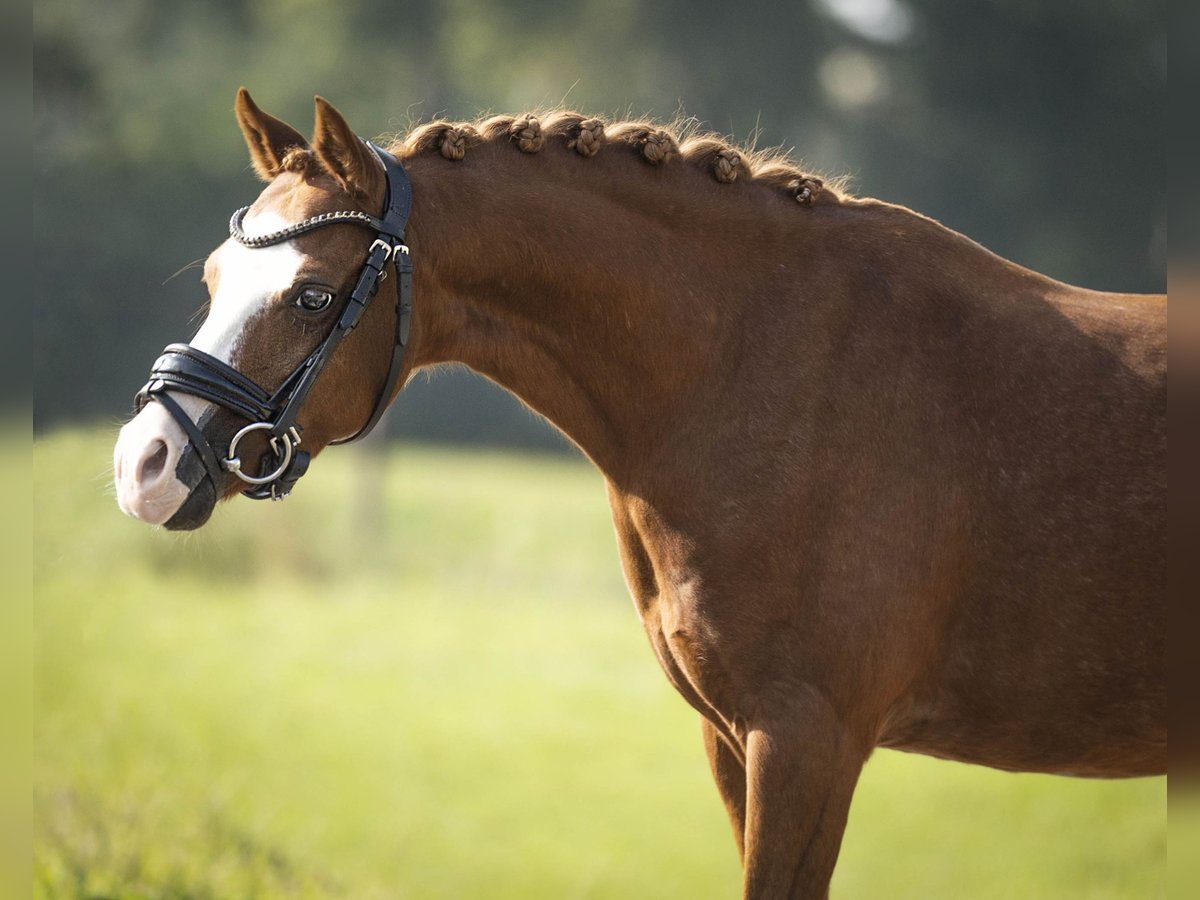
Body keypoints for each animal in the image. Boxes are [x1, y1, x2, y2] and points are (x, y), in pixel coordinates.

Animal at [110, 88, 1161, 897]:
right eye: (216, 276)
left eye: (313, 296)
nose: (144, 464)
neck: (768, 366)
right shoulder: (735, 741)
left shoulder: (809, 742)